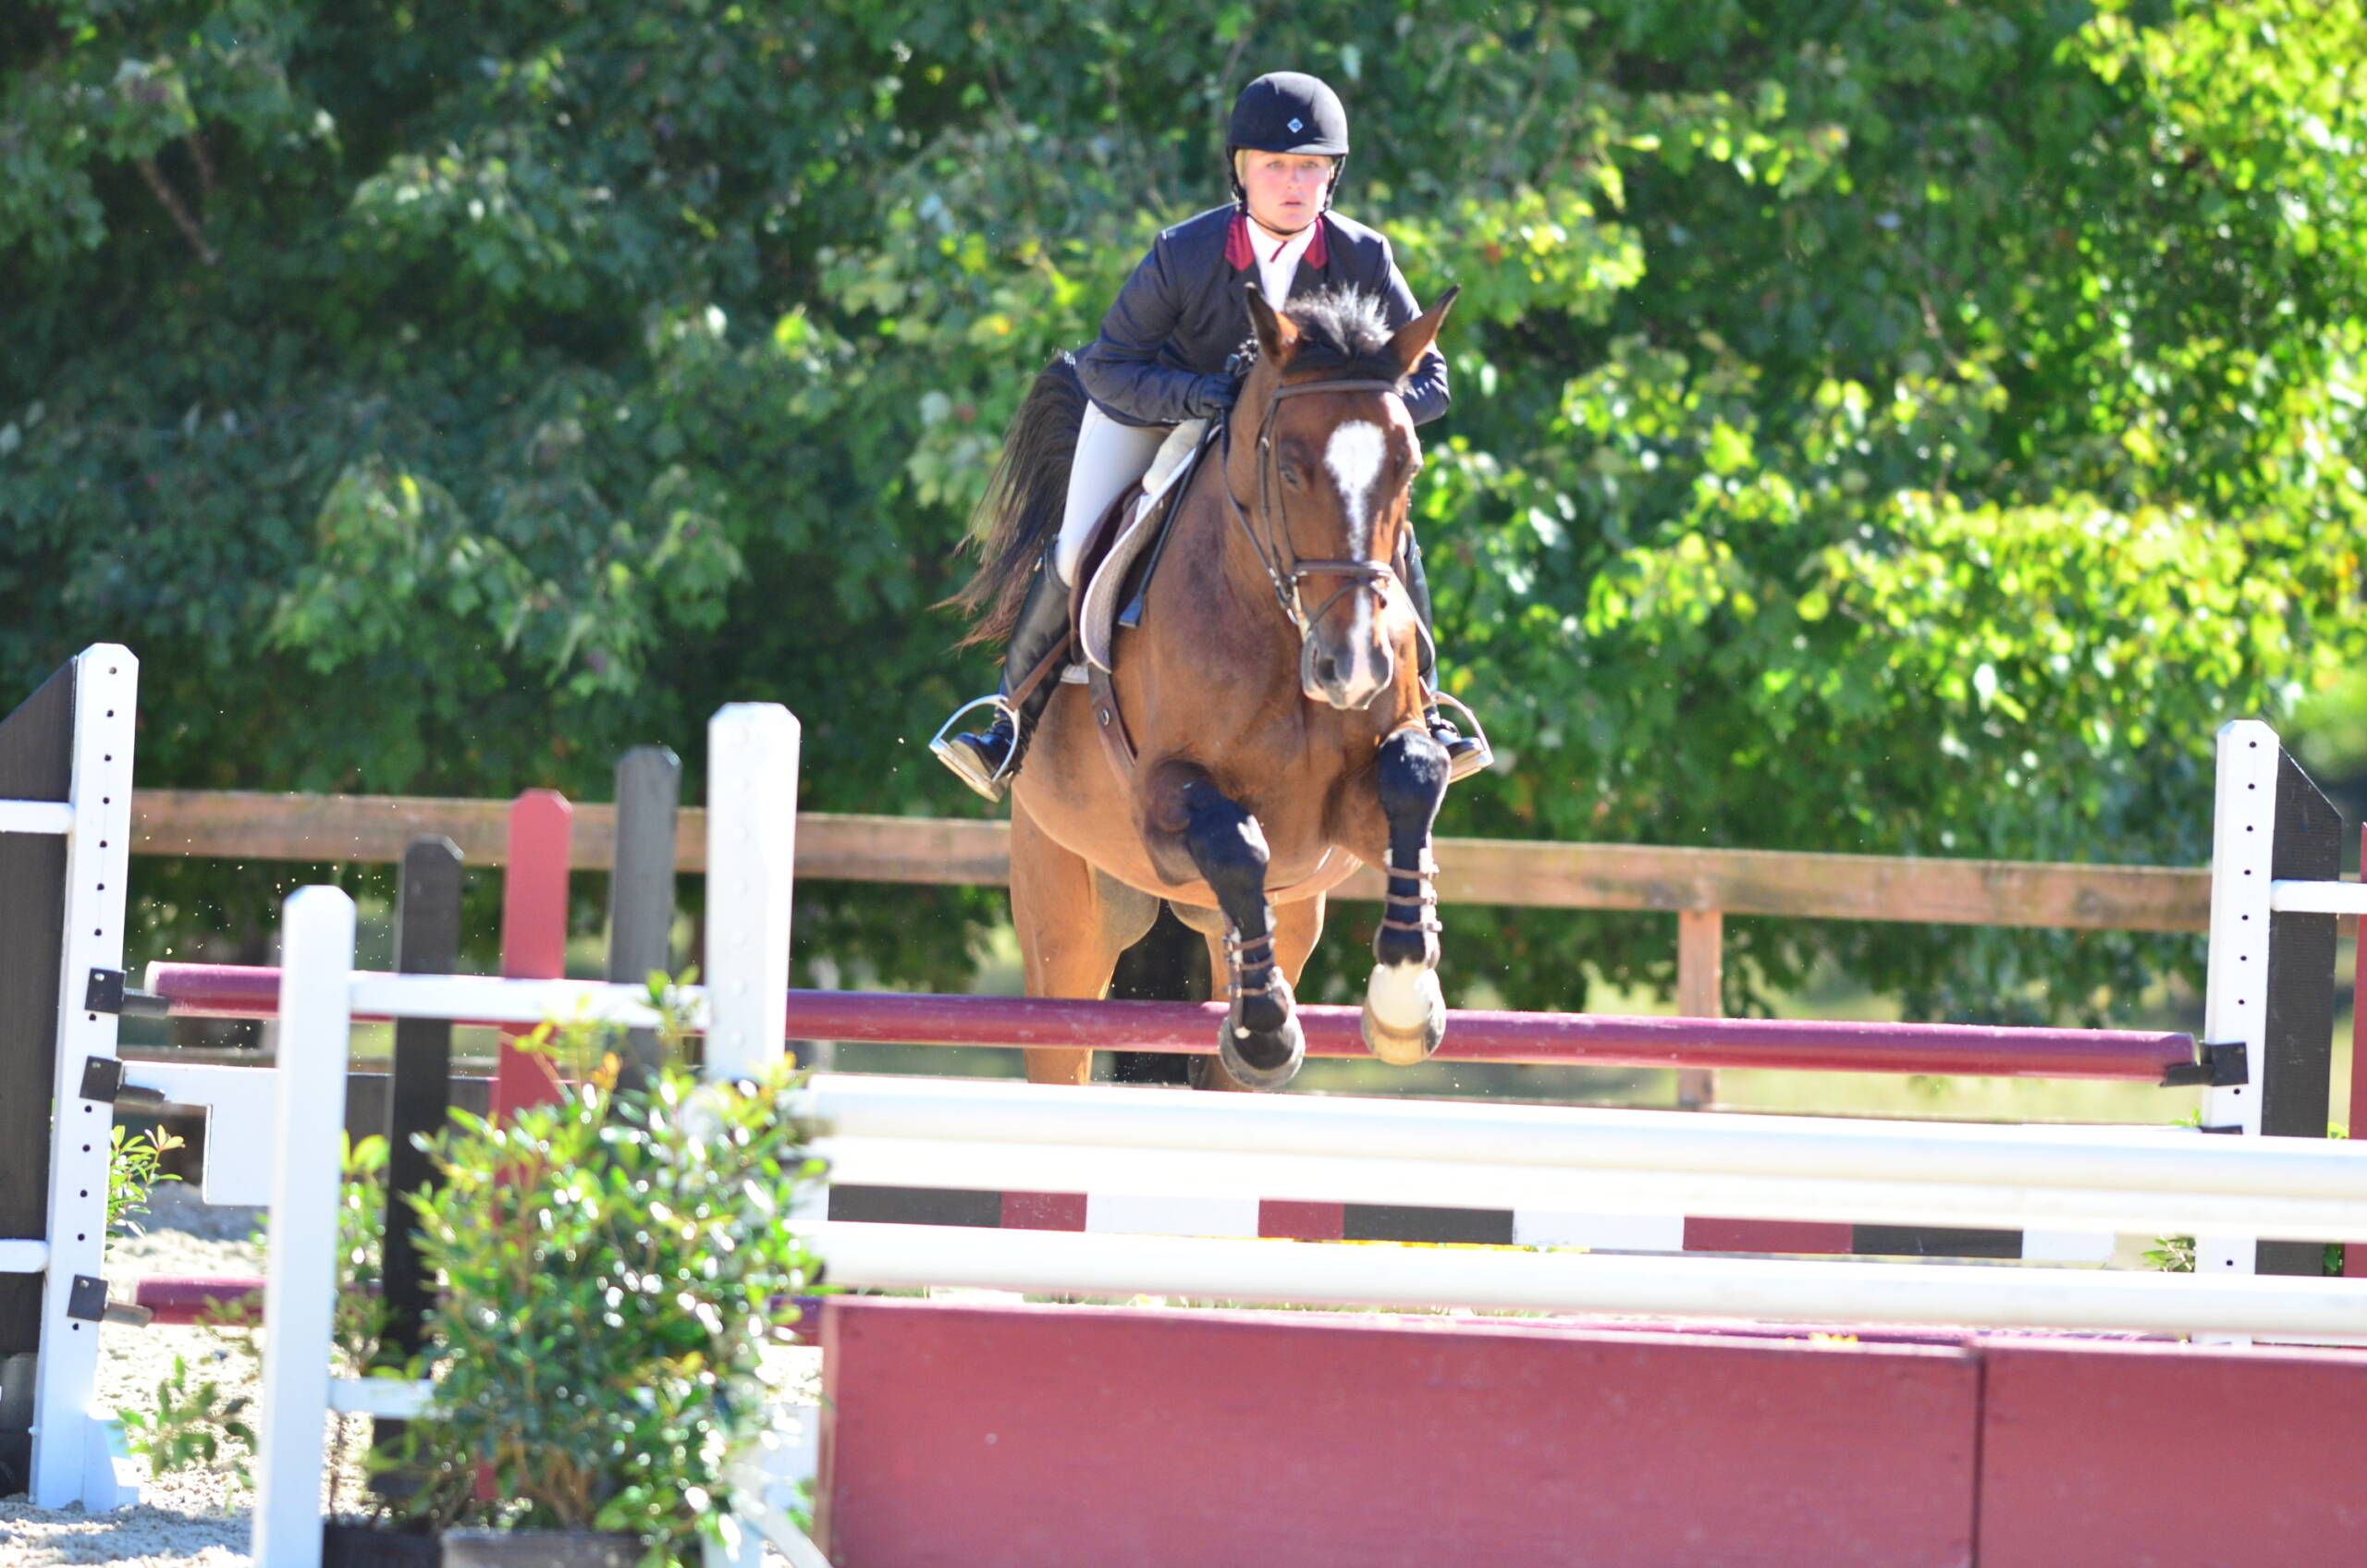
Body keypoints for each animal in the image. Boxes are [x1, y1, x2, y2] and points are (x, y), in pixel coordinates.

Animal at [951, 283, 1448, 1094]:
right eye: (1290, 472)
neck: (1285, 635)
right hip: (1068, 919)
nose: (1353, 669)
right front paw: (1268, 1031)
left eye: (1406, 470)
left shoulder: (1338, 823)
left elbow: (1415, 778)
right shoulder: (1159, 801)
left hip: (1285, 919)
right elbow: (1236, 841)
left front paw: (1405, 1002)